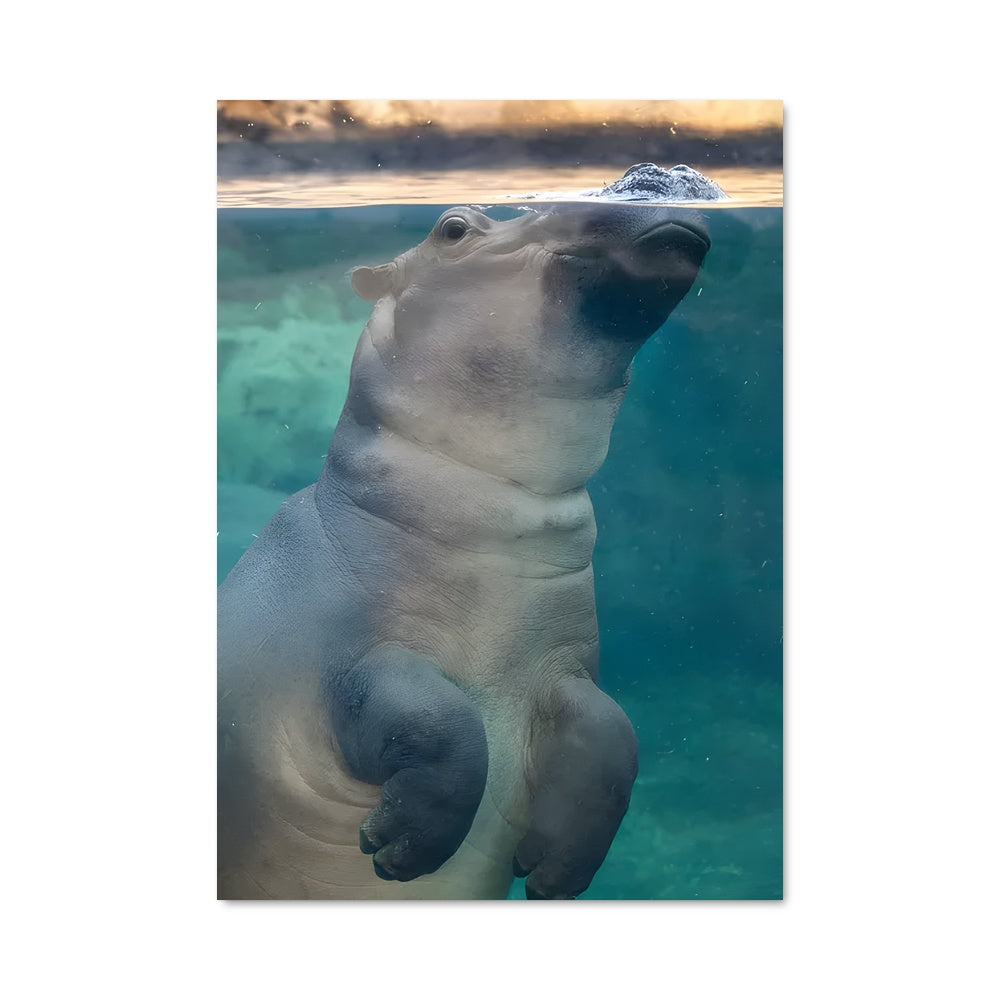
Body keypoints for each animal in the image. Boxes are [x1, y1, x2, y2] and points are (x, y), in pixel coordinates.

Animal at [218, 194, 711, 899]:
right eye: (452, 229)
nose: (646, 186)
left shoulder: (562, 666)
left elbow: (615, 735)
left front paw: (553, 876)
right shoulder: (341, 658)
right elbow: (441, 724)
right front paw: (399, 851)